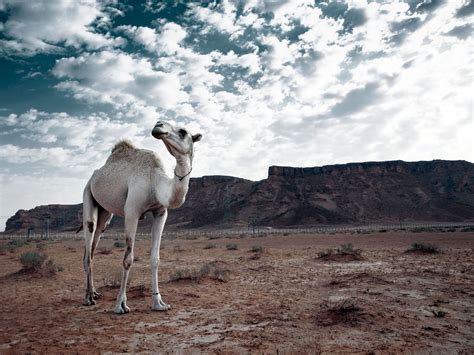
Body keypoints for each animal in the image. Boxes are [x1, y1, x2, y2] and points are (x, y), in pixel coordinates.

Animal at [82, 120, 201, 314]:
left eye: (183, 131)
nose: (158, 125)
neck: (155, 182)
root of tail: (94, 176)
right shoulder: (132, 212)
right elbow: (127, 259)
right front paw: (120, 305)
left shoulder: (161, 212)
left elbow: (155, 258)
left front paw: (159, 303)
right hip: (87, 193)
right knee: (89, 238)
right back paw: (88, 298)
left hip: (105, 213)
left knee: (92, 248)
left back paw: (95, 293)